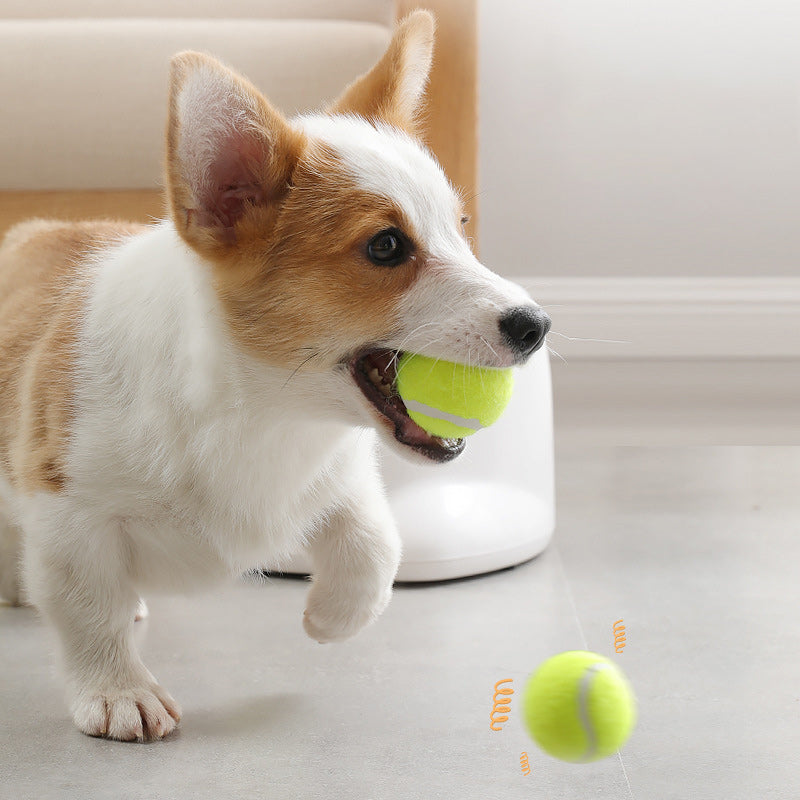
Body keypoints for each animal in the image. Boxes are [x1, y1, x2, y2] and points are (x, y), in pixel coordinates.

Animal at [0, 9, 552, 740]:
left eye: (460, 227)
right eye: (386, 246)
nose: (537, 326)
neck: (264, 410)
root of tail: (29, 231)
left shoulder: (342, 476)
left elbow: (377, 544)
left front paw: (330, 620)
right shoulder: (69, 511)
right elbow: (90, 613)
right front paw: (118, 691)